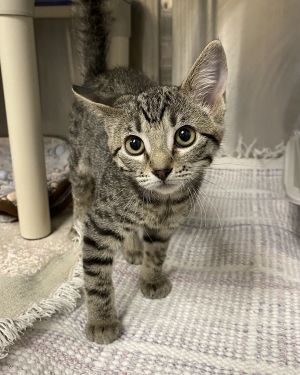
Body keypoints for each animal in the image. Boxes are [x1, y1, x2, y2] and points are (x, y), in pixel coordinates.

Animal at [69, 0, 227, 346]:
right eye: (133, 144)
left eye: (185, 136)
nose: (161, 169)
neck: (158, 204)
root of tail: (101, 73)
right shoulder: (100, 224)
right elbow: (96, 277)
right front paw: (102, 321)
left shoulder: (165, 226)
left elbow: (157, 251)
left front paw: (151, 278)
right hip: (79, 162)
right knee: (79, 193)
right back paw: (76, 222)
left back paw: (132, 248)